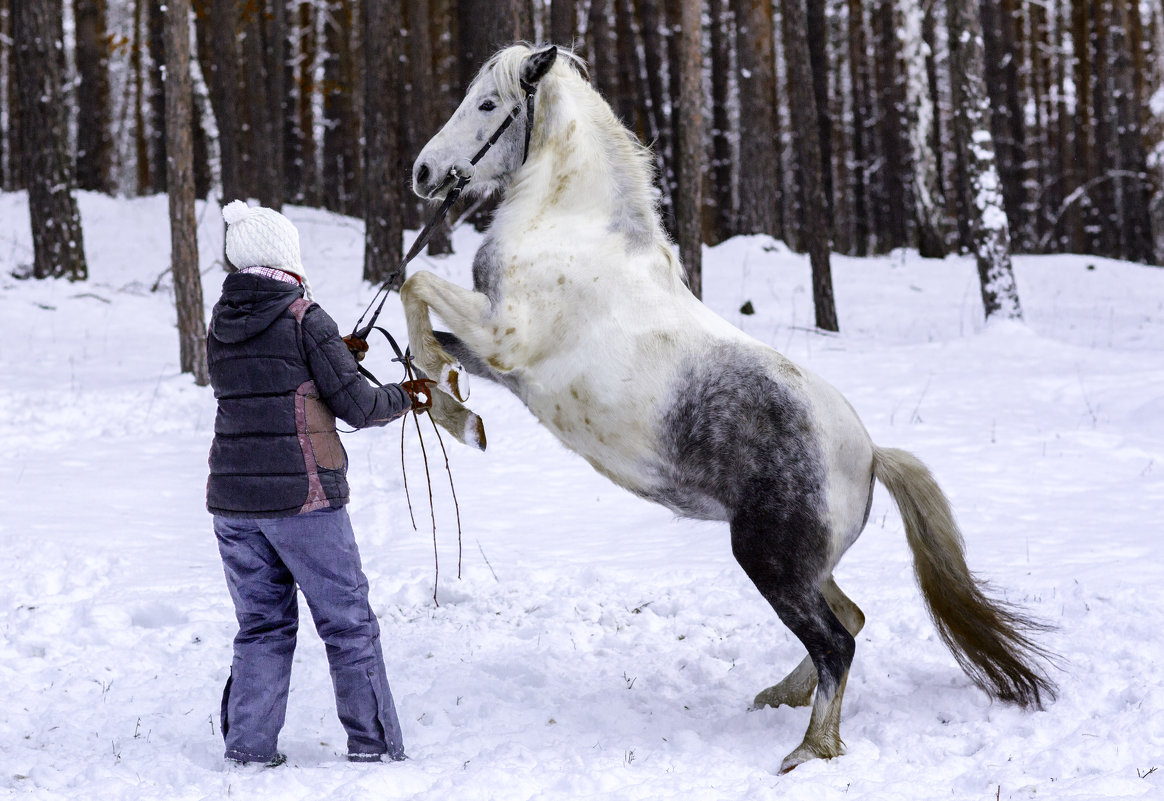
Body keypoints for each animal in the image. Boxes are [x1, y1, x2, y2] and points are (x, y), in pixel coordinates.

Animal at [400, 43, 1056, 768]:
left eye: (488, 104)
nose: (423, 172)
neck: (570, 230)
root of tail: (869, 455)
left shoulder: (504, 338)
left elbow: (414, 283)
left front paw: (447, 396)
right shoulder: (497, 360)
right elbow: (423, 332)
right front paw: (454, 411)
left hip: (770, 562)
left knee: (837, 641)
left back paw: (810, 749)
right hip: (803, 567)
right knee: (850, 619)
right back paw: (780, 697)